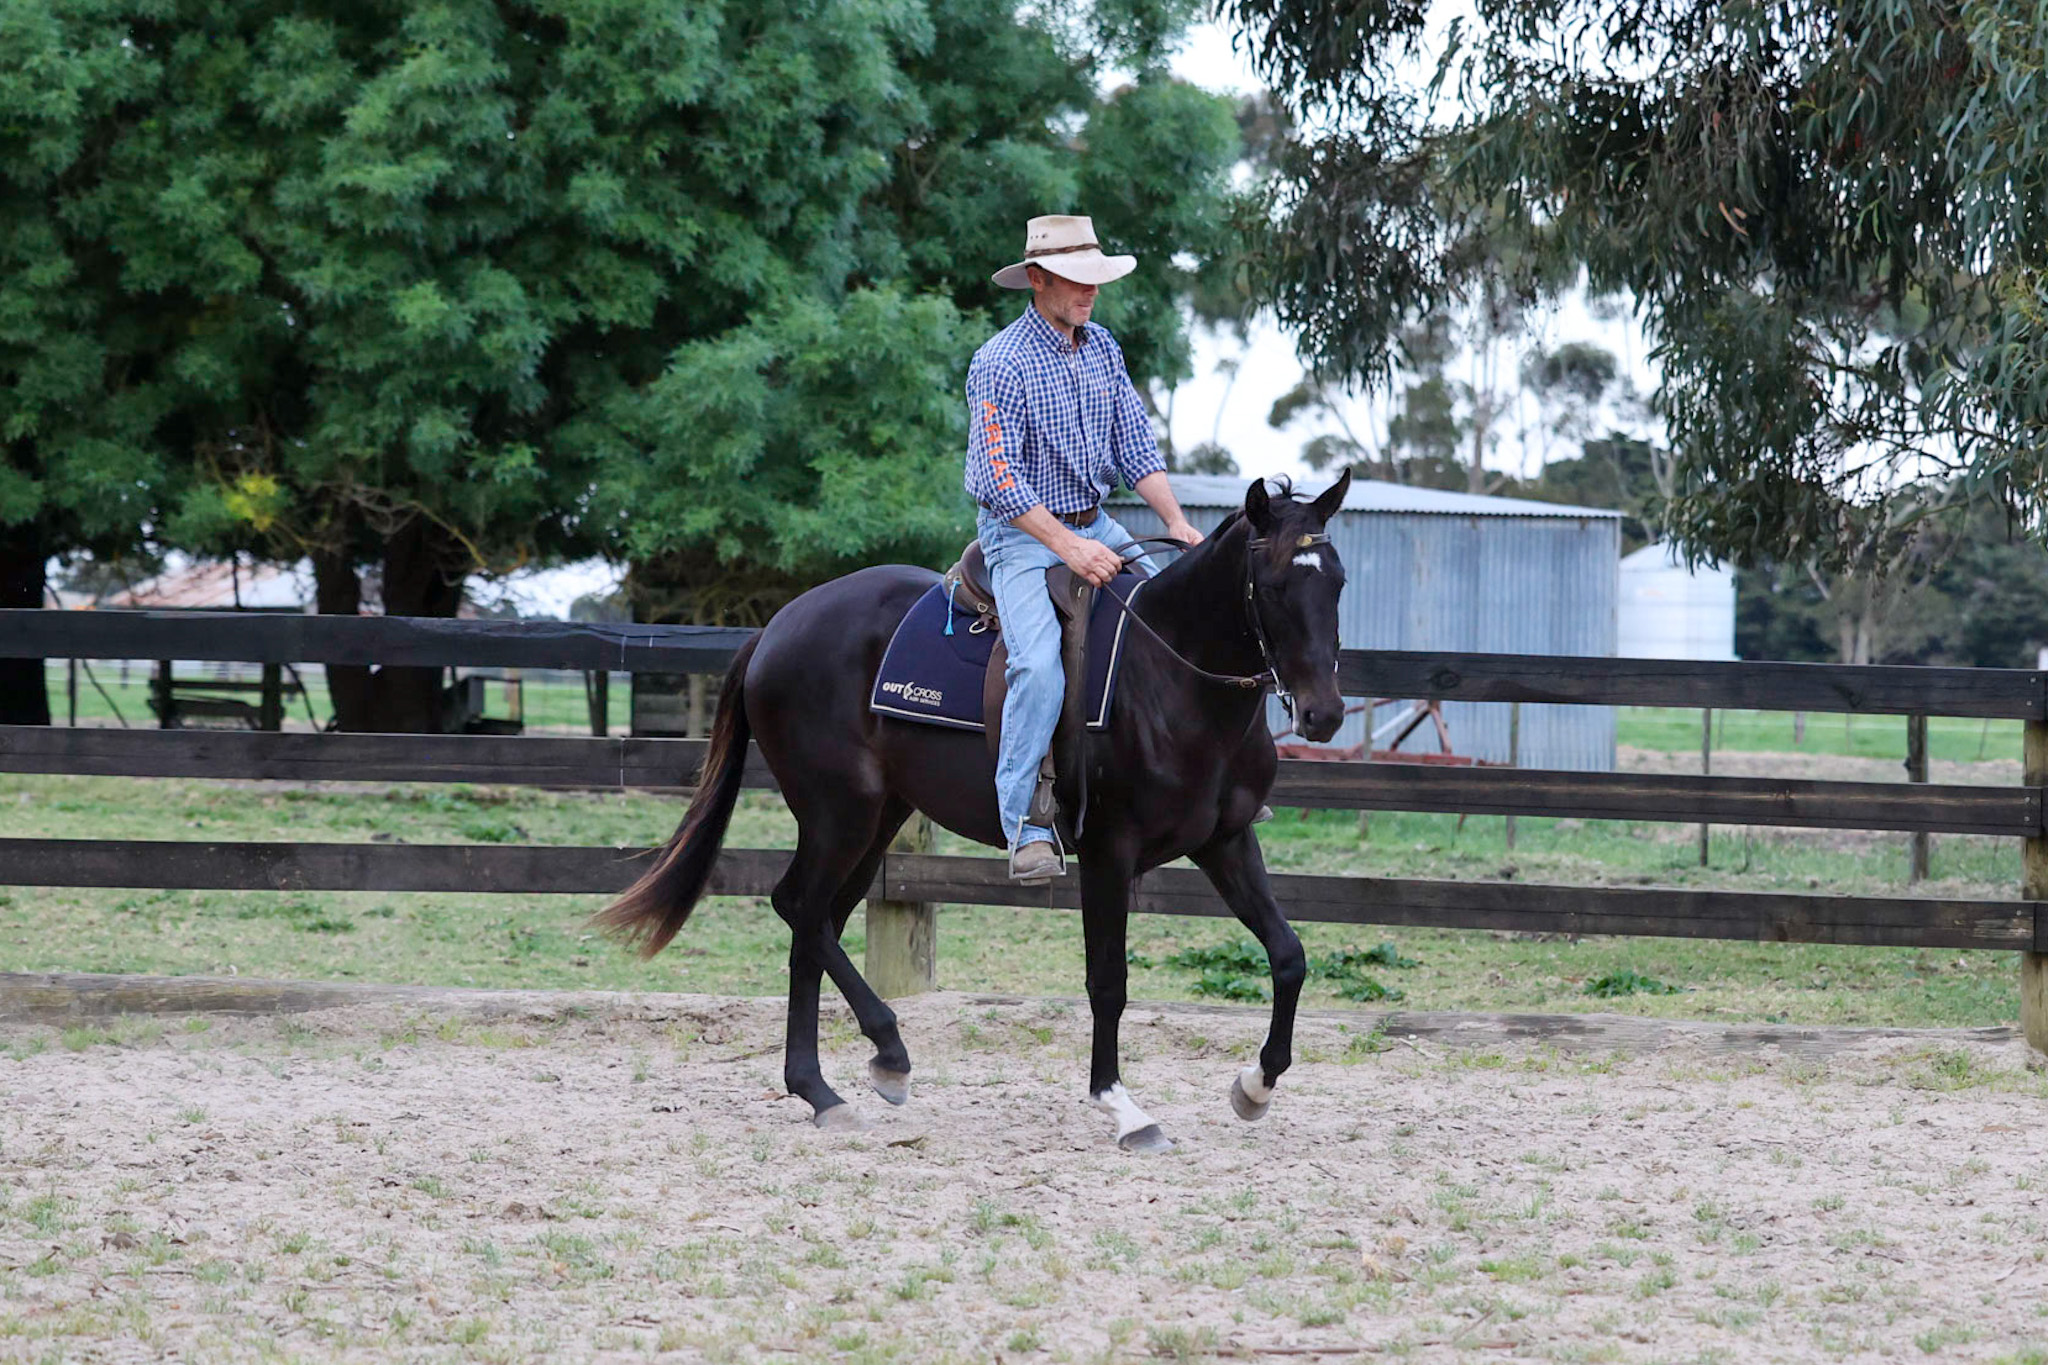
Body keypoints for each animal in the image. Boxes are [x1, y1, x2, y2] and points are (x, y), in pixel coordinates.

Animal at [596, 471, 1351, 1151]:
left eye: (1337, 582)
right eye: (1275, 585)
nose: (1324, 713)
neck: (1169, 675)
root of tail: (778, 627)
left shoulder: (1226, 840)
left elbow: (1289, 955)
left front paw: (1255, 1086)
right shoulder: (1108, 852)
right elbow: (1108, 981)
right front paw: (1123, 1107)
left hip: (877, 820)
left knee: (814, 926)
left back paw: (821, 1089)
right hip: (838, 813)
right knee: (800, 908)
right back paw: (885, 1055)